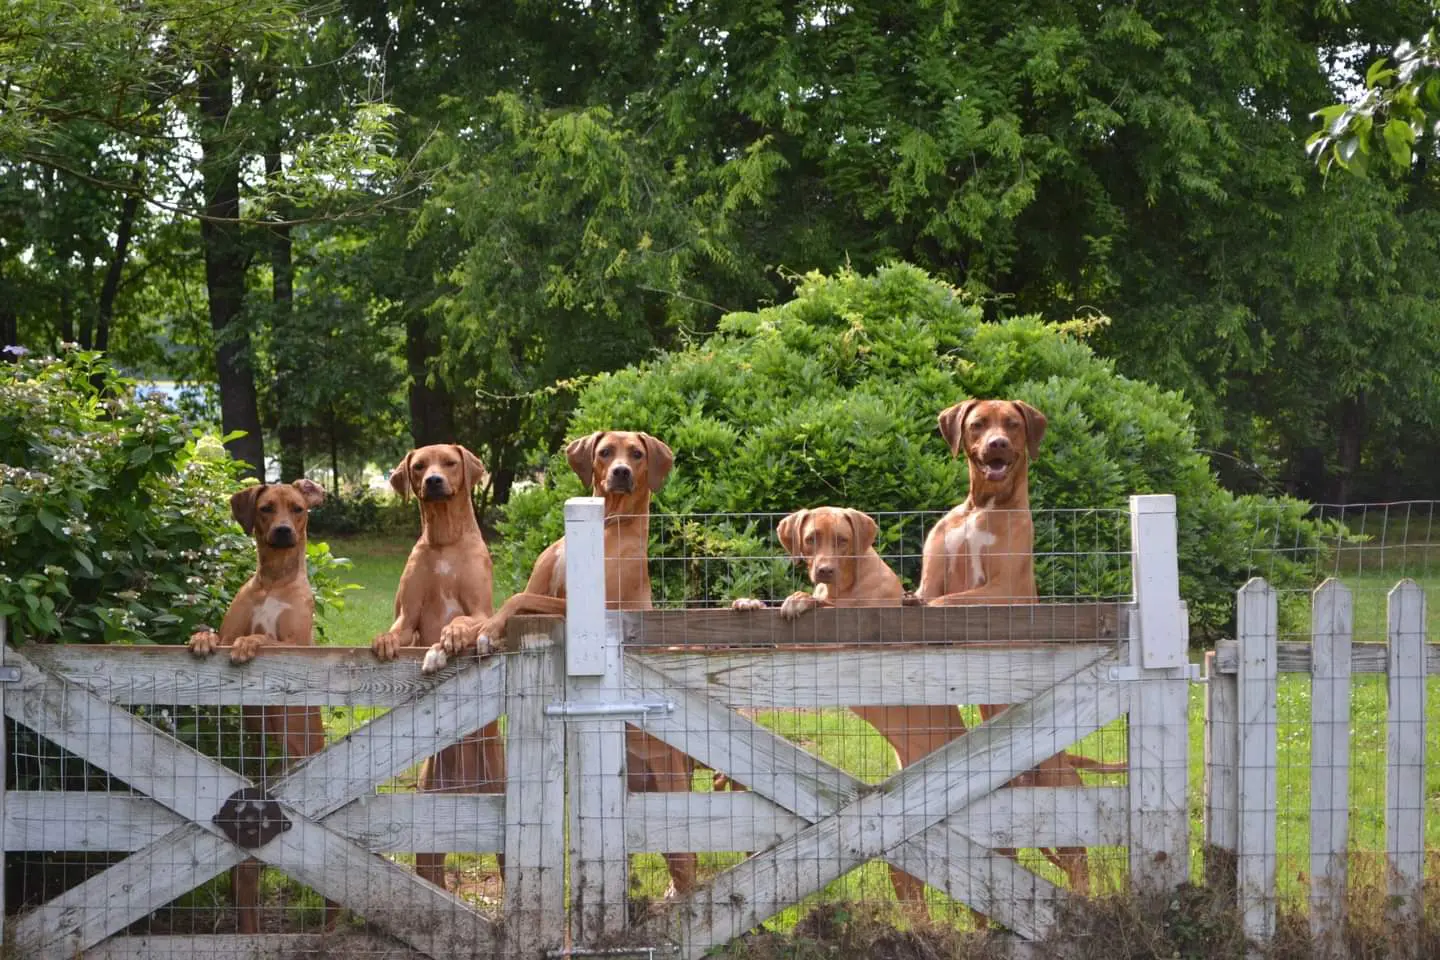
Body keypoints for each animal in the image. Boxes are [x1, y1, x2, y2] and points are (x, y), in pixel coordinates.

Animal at [188, 477, 336, 932]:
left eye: (298, 509)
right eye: (267, 508)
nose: (285, 531)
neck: (272, 583)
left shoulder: (297, 648)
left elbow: (264, 638)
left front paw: (249, 643)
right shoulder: (229, 626)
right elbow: (216, 635)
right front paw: (199, 638)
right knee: (246, 888)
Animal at [371, 446, 506, 892]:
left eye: (448, 462)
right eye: (418, 467)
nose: (432, 481)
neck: (445, 541)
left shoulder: (482, 612)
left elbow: (464, 621)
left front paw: (448, 641)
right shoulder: (408, 617)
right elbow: (398, 631)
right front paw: (386, 642)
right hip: (430, 820)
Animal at [420, 431, 699, 898]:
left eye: (637, 454)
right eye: (605, 453)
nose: (621, 473)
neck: (603, 526)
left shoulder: (582, 612)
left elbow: (515, 602)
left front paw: (485, 631)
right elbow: (489, 609)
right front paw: (447, 641)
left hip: (670, 790)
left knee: (689, 863)